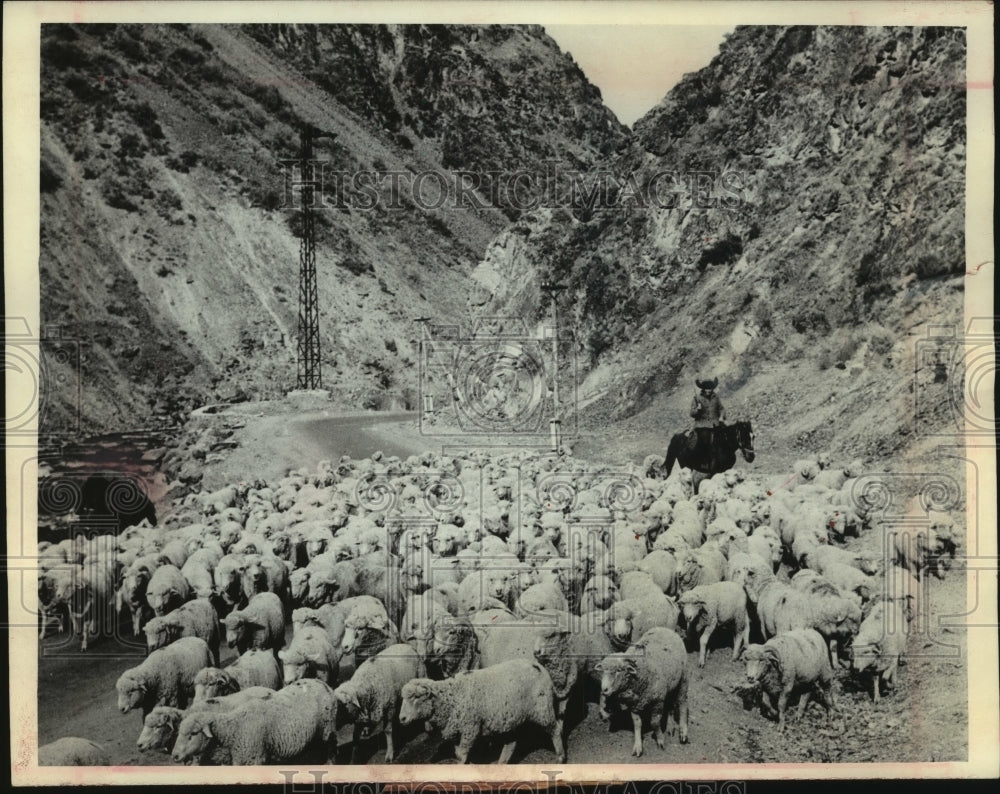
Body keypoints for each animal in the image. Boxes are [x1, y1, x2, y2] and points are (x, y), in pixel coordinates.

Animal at [172, 676, 340, 760]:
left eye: (193, 734)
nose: (174, 756)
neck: (234, 727)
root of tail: (320, 682)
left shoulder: (253, 757)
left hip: (328, 729)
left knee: (331, 750)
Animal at [400, 656, 572, 760]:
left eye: (416, 697)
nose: (401, 719)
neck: (452, 697)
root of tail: (539, 666)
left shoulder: (470, 728)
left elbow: (462, 754)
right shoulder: (458, 730)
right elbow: (458, 752)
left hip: (542, 710)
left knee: (555, 730)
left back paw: (561, 757)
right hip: (511, 717)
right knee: (511, 744)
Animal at [592, 624, 688, 756]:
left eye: (618, 671)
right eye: (603, 671)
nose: (604, 690)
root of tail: (664, 628)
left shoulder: (657, 701)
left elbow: (654, 722)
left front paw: (660, 739)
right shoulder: (634, 704)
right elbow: (637, 724)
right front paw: (638, 746)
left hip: (683, 679)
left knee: (682, 703)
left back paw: (683, 732)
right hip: (670, 685)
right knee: (670, 705)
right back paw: (670, 726)